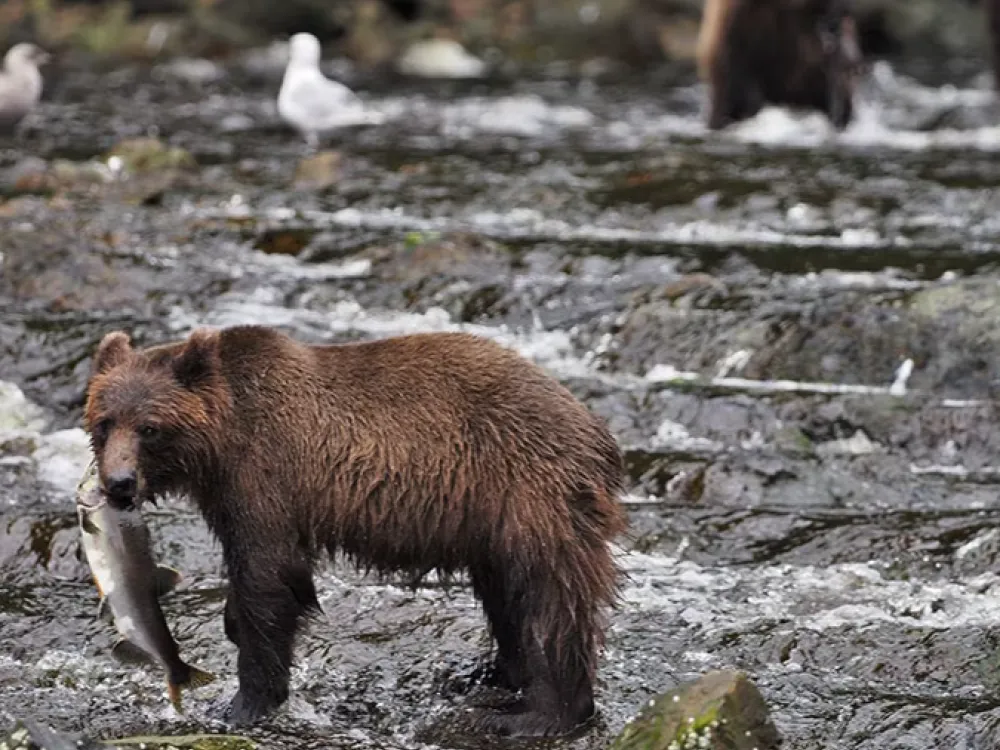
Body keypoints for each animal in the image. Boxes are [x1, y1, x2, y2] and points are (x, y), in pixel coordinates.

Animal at [83, 325, 628, 737]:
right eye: (105, 421)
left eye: (149, 427)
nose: (119, 483)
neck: (219, 442)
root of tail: (597, 429)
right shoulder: (230, 492)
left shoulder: (265, 476)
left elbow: (268, 578)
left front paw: (245, 703)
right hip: (492, 524)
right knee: (506, 598)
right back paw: (485, 678)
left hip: (531, 492)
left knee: (550, 600)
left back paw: (540, 715)